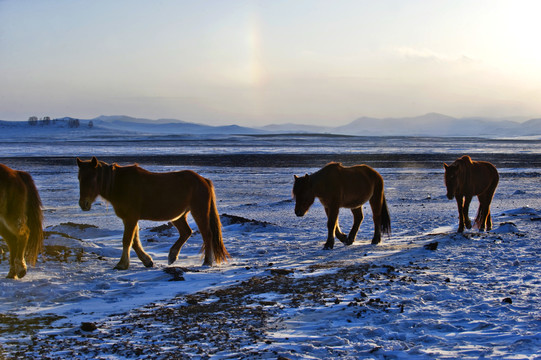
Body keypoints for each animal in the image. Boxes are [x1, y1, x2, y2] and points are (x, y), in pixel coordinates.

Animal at [76, 156, 228, 268]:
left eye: (92, 178)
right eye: (79, 178)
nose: (83, 204)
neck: (119, 184)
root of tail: (203, 180)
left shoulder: (131, 218)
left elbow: (127, 240)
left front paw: (122, 264)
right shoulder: (129, 219)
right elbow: (134, 241)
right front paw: (147, 261)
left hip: (199, 211)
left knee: (207, 234)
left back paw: (207, 262)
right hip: (178, 216)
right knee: (186, 232)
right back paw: (172, 256)